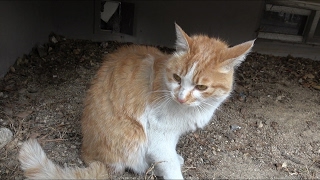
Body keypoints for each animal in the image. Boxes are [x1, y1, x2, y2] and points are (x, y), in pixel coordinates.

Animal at [19, 23, 255, 179]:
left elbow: (168, 156)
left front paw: (172, 159)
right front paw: (169, 166)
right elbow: (168, 162)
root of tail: (88, 153)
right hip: (134, 136)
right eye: (177, 78)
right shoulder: (158, 133)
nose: (180, 97)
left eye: (201, 87)